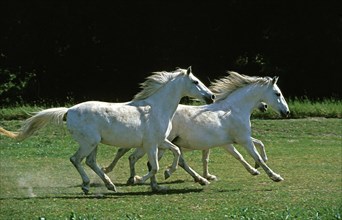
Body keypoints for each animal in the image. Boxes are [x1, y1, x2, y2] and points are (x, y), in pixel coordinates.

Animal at [0, 66, 214, 192]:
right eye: (195, 81)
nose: (211, 96)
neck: (157, 108)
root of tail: (68, 111)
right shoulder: (152, 144)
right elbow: (154, 166)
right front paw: (140, 179)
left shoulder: (160, 141)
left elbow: (175, 152)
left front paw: (163, 177)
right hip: (89, 143)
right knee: (76, 159)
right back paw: (87, 185)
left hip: (94, 144)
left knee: (90, 161)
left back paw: (109, 184)